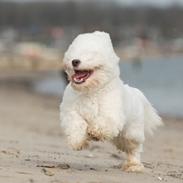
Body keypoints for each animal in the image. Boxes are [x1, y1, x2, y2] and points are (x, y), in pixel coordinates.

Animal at [59, 30, 162, 172]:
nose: (75, 61)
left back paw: (134, 165)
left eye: (90, 54)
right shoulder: (70, 111)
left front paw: (94, 132)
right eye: (73, 53)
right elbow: (76, 123)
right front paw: (78, 141)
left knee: (134, 148)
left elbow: (104, 121)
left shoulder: (111, 112)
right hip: (120, 137)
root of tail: (136, 93)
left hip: (131, 132)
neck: (91, 90)